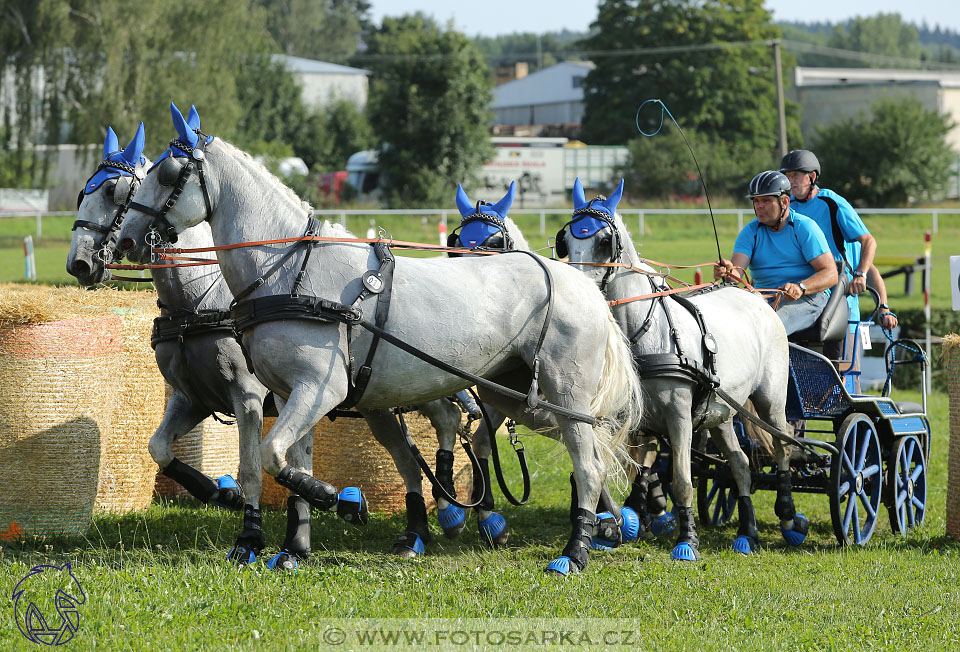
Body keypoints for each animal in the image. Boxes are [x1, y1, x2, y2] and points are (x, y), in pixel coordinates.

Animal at [118, 103, 644, 576]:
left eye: (168, 174)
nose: (124, 240)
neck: (291, 272)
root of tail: (581, 284)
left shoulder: (319, 389)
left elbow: (269, 456)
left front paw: (339, 499)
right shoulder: (290, 395)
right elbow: (290, 463)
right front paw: (294, 547)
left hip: (563, 395)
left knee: (589, 463)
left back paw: (576, 549)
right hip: (517, 396)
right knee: (591, 454)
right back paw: (595, 525)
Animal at [560, 178, 808, 560]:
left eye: (604, 242)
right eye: (565, 240)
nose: (576, 290)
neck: (644, 331)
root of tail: (754, 295)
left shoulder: (678, 416)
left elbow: (680, 478)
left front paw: (686, 540)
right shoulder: (632, 418)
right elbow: (618, 468)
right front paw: (618, 523)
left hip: (770, 399)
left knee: (781, 445)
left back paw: (787, 515)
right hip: (721, 411)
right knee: (740, 465)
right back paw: (747, 533)